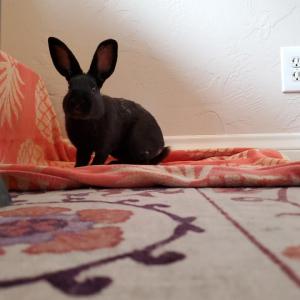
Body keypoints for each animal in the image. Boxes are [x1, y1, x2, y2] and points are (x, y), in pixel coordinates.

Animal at [48, 37, 168, 166]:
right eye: (70, 87)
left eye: (93, 88)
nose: (77, 103)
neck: (84, 121)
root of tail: (160, 143)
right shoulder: (83, 148)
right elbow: (81, 160)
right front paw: (77, 167)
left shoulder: (103, 146)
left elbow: (98, 160)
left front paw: (94, 166)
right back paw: (114, 163)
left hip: (137, 143)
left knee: (143, 161)